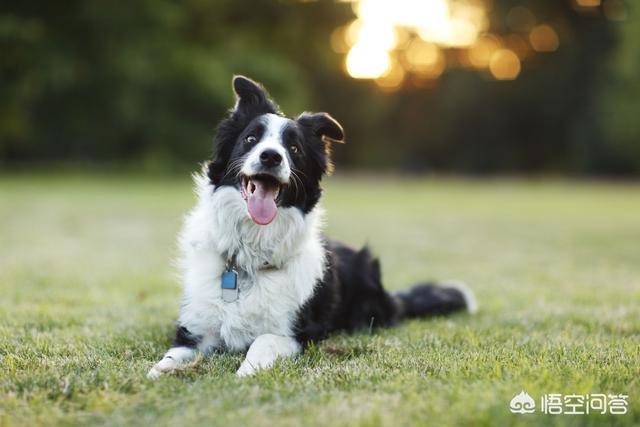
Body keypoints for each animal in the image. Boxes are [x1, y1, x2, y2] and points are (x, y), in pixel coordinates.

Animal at [146, 76, 476, 378]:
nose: (271, 156)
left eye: (294, 148)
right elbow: (171, 357)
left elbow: (263, 341)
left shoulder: (299, 333)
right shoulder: (194, 329)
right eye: (251, 139)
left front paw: (244, 373)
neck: (250, 258)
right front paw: (159, 372)